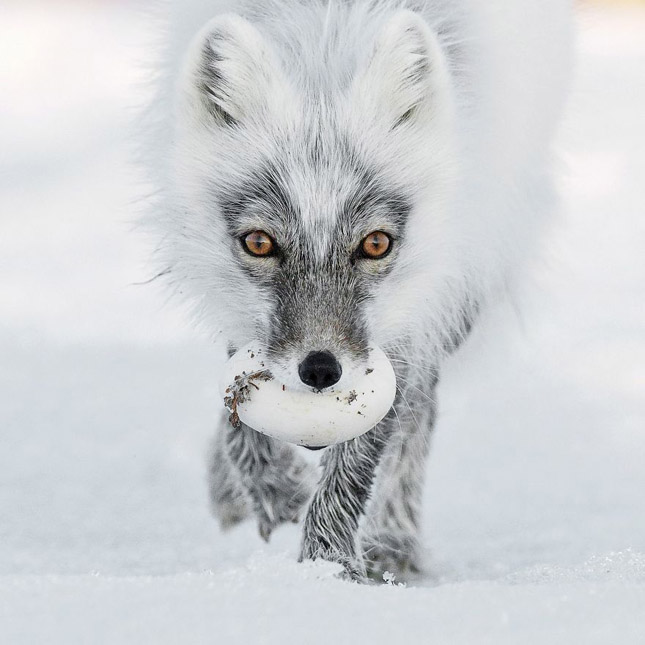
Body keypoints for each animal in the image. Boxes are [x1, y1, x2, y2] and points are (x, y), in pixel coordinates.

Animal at [145, 0, 568, 580]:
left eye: (375, 243)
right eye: (259, 243)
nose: (321, 370)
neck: (325, 44)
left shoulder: (411, 318)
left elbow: (362, 457)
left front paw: (327, 570)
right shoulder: (240, 310)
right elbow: (239, 413)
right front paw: (274, 492)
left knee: (419, 414)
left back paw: (393, 542)